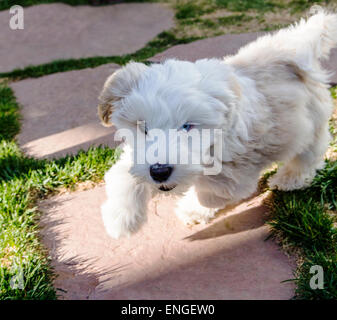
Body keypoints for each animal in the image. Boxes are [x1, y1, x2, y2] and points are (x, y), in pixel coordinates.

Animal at [97, 10, 336, 238]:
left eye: (187, 126)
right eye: (144, 128)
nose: (159, 172)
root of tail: (292, 46)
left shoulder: (234, 174)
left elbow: (210, 193)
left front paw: (190, 210)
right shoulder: (136, 156)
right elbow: (121, 174)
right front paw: (120, 220)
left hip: (310, 124)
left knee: (308, 155)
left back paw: (289, 179)